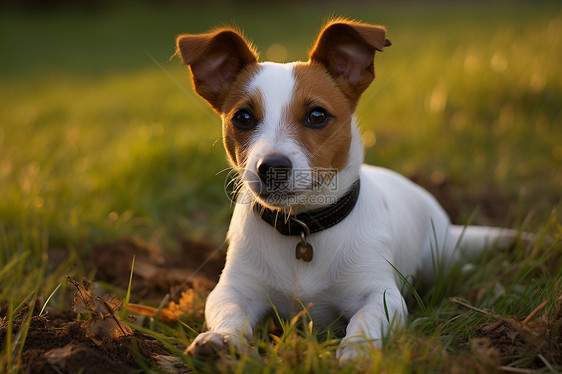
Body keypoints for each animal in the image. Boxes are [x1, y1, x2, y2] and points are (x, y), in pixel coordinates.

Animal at [174, 19, 516, 360]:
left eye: (317, 115)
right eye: (243, 117)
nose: (271, 167)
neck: (303, 228)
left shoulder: (380, 293)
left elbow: (367, 319)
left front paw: (357, 349)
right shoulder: (234, 289)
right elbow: (230, 312)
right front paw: (221, 339)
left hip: (439, 257)